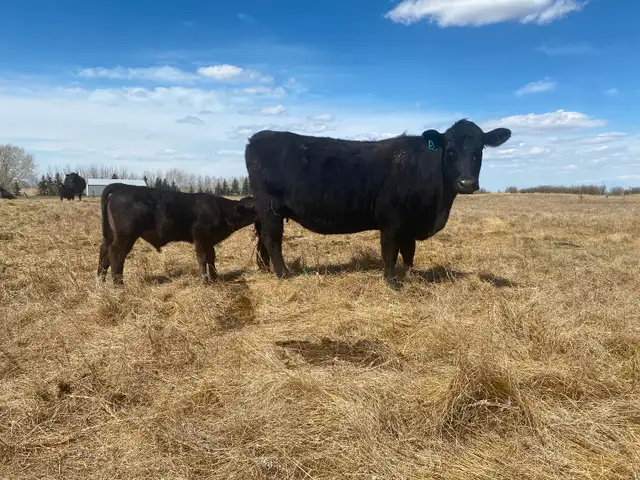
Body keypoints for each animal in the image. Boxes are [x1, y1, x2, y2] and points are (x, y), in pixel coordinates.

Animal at [97, 182, 257, 286]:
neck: (221, 211)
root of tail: (123, 187)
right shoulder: (200, 238)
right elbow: (202, 258)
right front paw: (205, 280)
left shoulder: (209, 241)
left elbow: (211, 257)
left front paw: (215, 277)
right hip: (125, 236)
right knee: (116, 255)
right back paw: (119, 285)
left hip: (111, 235)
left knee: (104, 255)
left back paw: (101, 283)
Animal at [245, 119, 511, 282]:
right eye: (451, 150)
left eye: (479, 150)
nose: (467, 183)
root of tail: (256, 138)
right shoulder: (391, 218)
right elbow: (390, 250)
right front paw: (391, 281)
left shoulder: (409, 223)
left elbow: (409, 252)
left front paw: (409, 276)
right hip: (270, 208)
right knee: (272, 239)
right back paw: (283, 273)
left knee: (264, 241)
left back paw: (268, 270)